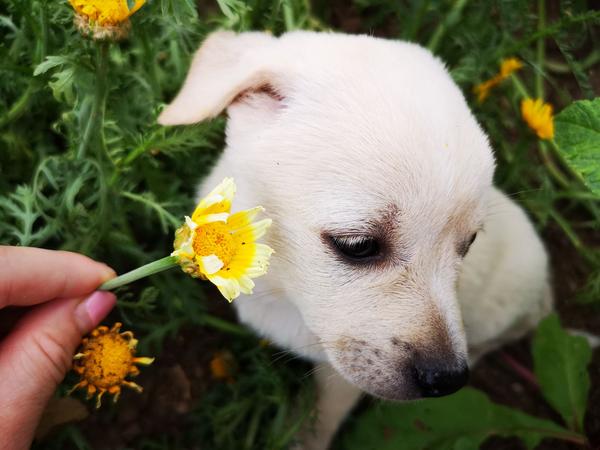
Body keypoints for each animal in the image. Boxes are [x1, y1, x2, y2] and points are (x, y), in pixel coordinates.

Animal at [161, 31, 552, 450]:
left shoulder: (340, 377)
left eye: (468, 244)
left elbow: (319, 423)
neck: (281, 291)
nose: (447, 380)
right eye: (357, 245)